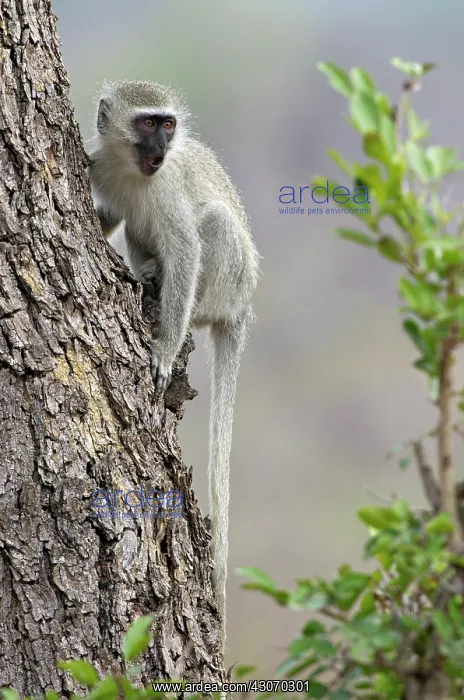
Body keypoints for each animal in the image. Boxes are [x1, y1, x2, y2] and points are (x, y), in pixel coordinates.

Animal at [87, 80, 260, 654]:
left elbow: (186, 248)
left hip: (228, 280)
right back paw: (144, 273)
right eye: (147, 123)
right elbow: (110, 218)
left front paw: (163, 349)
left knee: (212, 227)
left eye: (167, 124)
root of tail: (241, 310)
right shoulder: (99, 168)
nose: (162, 144)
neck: (135, 171)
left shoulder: (168, 194)